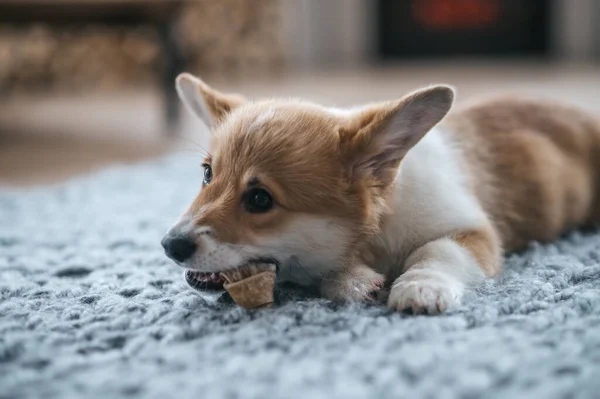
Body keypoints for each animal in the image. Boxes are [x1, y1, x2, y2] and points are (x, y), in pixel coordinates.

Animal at [163, 72, 600, 316]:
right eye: (207, 174)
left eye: (260, 199)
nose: (170, 245)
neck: (383, 225)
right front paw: (353, 282)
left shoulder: (473, 231)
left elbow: (436, 250)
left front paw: (420, 288)